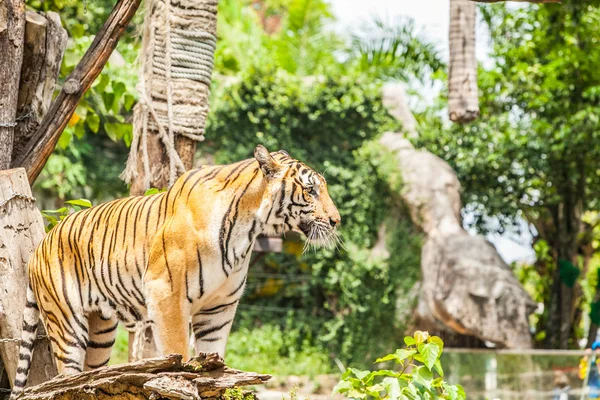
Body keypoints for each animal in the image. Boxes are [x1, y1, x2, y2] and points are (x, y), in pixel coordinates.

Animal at [9, 145, 340, 396]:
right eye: (310, 191)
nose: (336, 221)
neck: (248, 229)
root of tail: (41, 242)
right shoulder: (166, 292)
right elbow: (178, 353)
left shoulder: (219, 308)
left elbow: (216, 360)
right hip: (67, 325)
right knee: (65, 378)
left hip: (100, 332)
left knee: (88, 379)